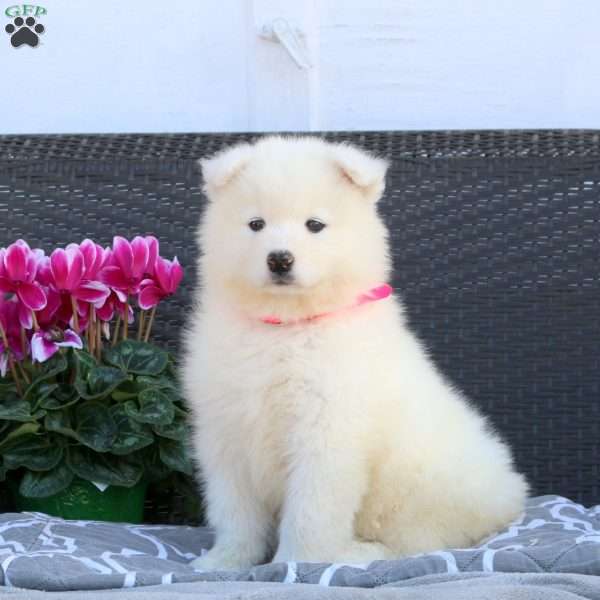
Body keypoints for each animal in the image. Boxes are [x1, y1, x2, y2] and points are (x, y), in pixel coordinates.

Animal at [182, 136, 524, 572]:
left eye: (315, 225)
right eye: (255, 224)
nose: (279, 258)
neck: (286, 326)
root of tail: (510, 493)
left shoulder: (327, 434)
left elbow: (310, 513)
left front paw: (295, 564)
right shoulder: (226, 433)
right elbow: (234, 512)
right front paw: (224, 561)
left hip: (419, 484)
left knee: (414, 541)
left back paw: (356, 553)